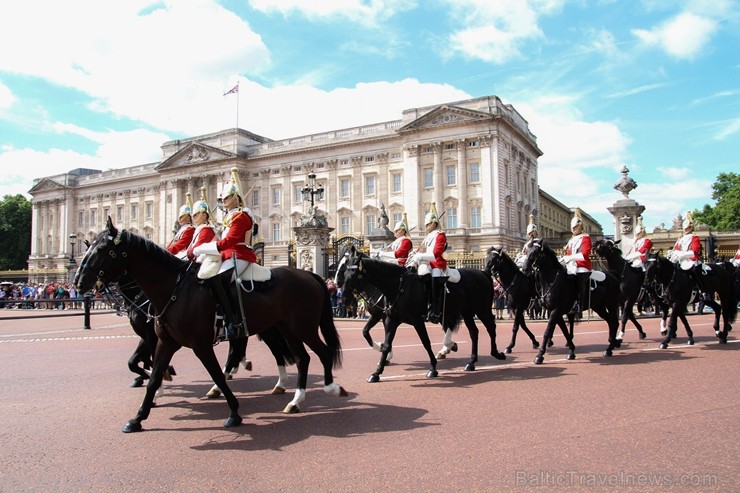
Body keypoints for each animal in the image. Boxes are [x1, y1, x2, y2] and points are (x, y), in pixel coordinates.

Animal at [73, 218, 346, 430]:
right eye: (90, 247)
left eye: (103, 249)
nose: (78, 283)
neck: (172, 289)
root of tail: (310, 274)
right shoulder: (164, 341)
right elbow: (151, 374)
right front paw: (138, 417)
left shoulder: (198, 344)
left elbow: (214, 373)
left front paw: (233, 412)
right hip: (284, 328)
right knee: (300, 358)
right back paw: (293, 399)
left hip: (301, 328)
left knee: (321, 352)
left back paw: (330, 388)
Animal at [340, 246, 502, 380]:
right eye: (345, 271)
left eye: (355, 274)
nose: (344, 299)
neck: (398, 286)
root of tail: (483, 273)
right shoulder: (390, 319)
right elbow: (384, 343)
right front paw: (377, 371)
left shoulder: (416, 320)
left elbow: (426, 342)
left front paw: (433, 368)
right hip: (466, 312)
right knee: (473, 332)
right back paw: (471, 362)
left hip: (481, 309)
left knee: (490, 327)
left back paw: (496, 353)